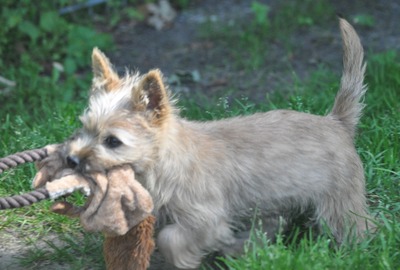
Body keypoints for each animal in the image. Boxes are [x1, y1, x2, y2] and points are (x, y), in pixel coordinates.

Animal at [65, 18, 376, 268]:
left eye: (112, 141)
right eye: (84, 129)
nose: (72, 159)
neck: (164, 162)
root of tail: (337, 122)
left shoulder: (205, 218)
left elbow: (171, 238)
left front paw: (186, 259)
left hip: (340, 203)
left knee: (361, 227)